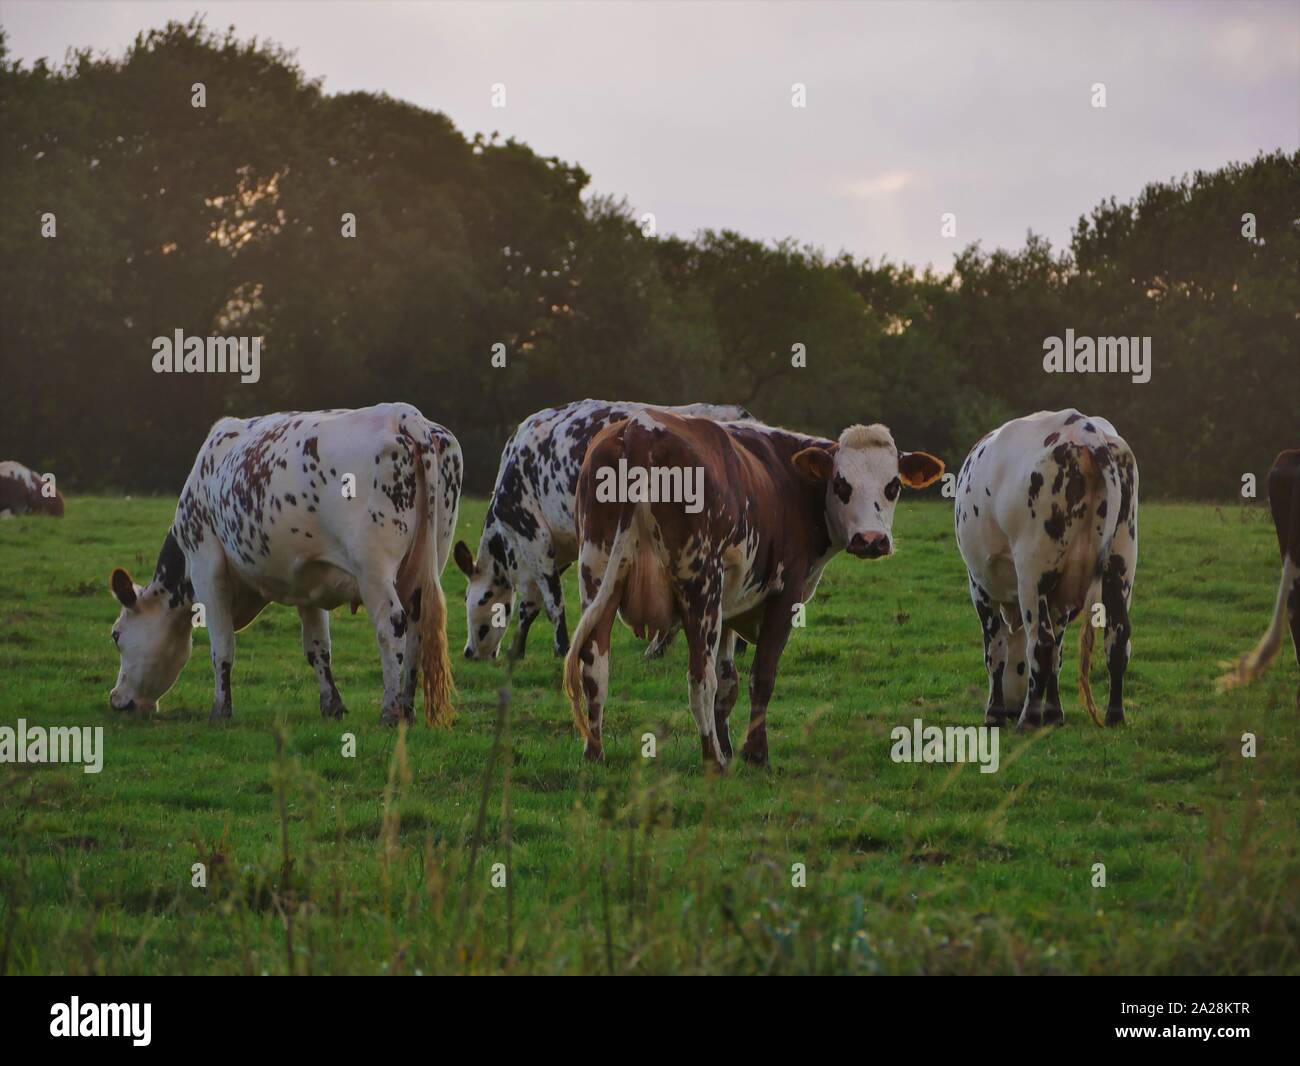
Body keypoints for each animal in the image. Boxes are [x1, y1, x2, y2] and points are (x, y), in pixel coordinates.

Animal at [106, 405, 462, 722]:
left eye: (116, 635)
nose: (116, 699)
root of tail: (404, 415)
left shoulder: (206, 562)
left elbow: (222, 647)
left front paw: (220, 710)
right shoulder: (310, 577)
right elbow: (317, 648)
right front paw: (332, 705)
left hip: (373, 566)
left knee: (391, 625)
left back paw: (390, 711)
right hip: (428, 562)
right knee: (418, 626)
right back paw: (408, 708)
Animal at [452, 403, 754, 663]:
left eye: (475, 598)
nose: (469, 652)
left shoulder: (533, 535)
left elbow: (550, 601)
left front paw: (559, 648)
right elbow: (532, 604)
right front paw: (519, 650)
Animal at [561, 413, 946, 769]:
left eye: (893, 486)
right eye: (841, 484)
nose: (871, 540)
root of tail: (640, 429)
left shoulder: (731, 606)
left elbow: (729, 683)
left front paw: (731, 746)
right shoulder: (784, 595)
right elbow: (761, 676)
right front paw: (754, 753)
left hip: (598, 576)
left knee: (594, 668)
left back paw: (595, 751)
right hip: (701, 588)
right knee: (700, 679)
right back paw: (712, 759)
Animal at [951, 410, 1144, 733]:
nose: (1013, 708)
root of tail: (1086, 429)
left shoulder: (979, 586)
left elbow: (996, 651)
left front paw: (995, 713)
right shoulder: (1059, 598)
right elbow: (1058, 653)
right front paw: (1054, 713)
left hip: (1032, 572)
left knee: (1040, 643)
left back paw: (1027, 721)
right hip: (1121, 562)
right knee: (1117, 638)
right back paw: (1115, 716)